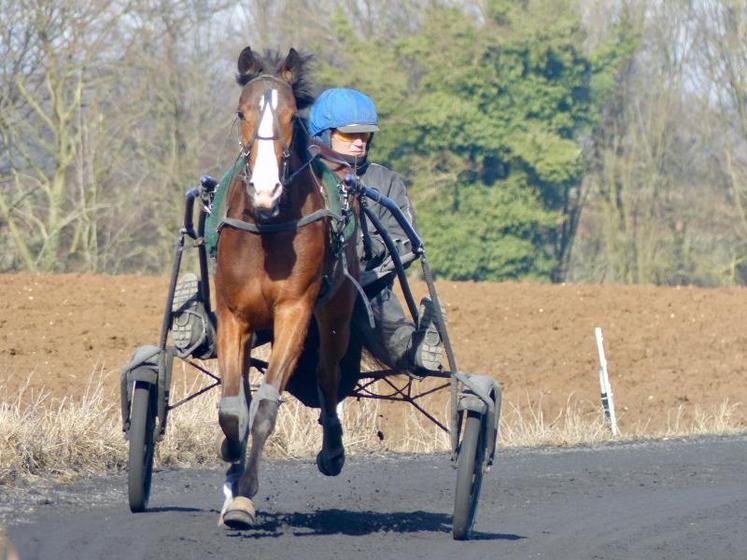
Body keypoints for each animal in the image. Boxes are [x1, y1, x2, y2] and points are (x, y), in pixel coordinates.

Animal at [212, 48, 360, 528]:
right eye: (241, 112)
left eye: (292, 116)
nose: (265, 189)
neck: (265, 227)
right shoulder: (232, 314)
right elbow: (232, 407)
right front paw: (231, 462)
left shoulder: (295, 310)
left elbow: (265, 406)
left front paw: (243, 496)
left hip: (335, 314)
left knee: (329, 375)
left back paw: (332, 448)